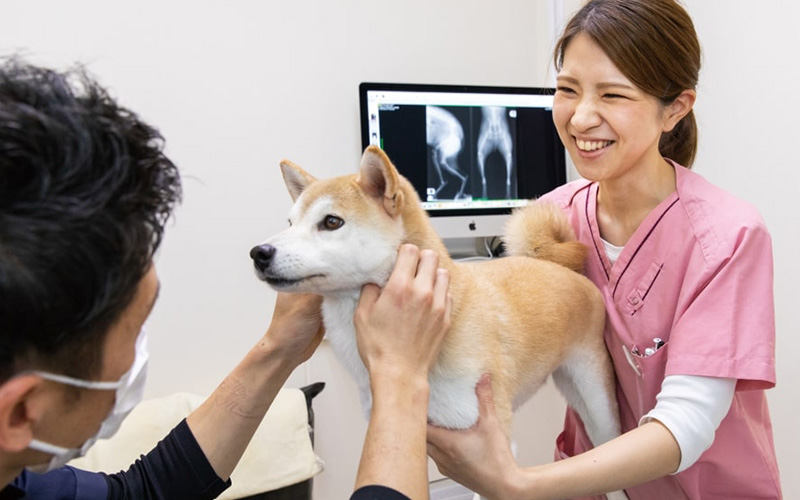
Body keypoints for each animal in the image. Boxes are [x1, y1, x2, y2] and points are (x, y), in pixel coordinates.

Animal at [250, 144, 620, 454]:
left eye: (331, 222)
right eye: (290, 222)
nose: (259, 253)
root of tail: (559, 267)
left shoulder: (488, 440)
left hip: (597, 403)